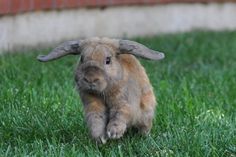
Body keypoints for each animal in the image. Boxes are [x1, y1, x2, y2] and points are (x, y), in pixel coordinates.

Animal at [37, 37, 165, 144]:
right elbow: (96, 120)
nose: (90, 79)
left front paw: (113, 133)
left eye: (108, 60)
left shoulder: (124, 103)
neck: (103, 92)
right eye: (82, 58)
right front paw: (100, 138)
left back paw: (142, 137)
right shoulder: (92, 105)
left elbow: (120, 114)